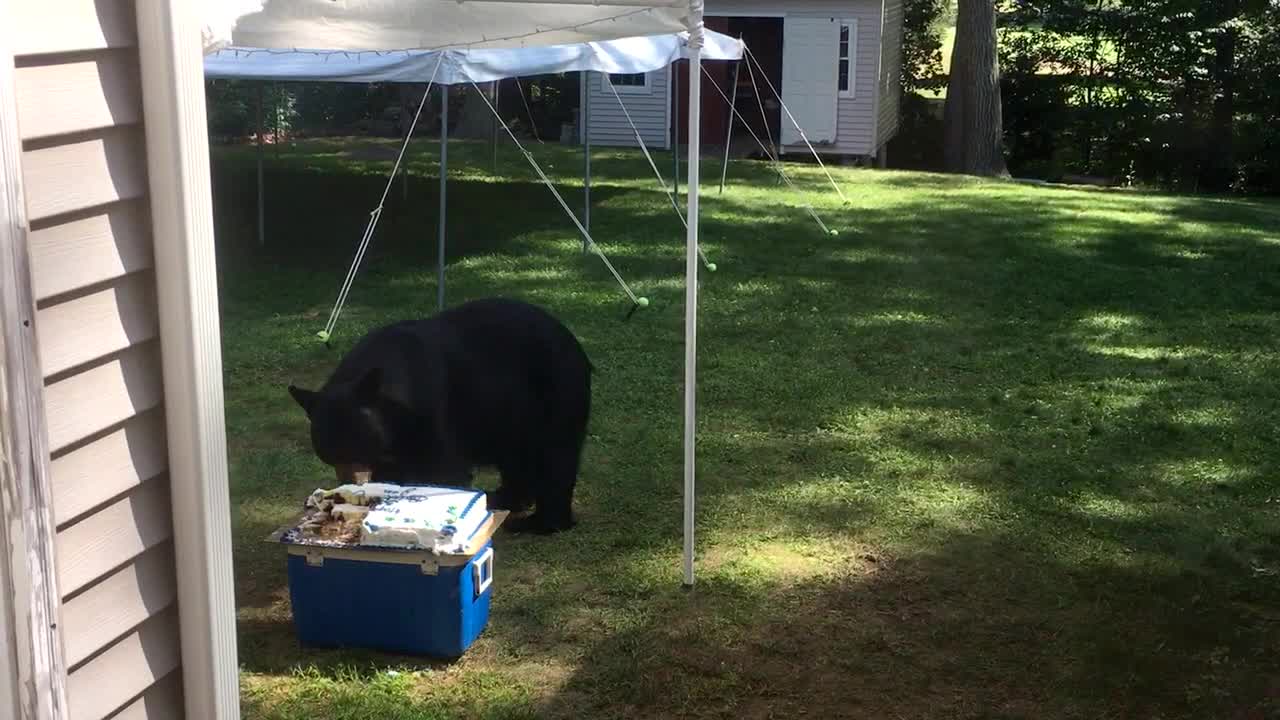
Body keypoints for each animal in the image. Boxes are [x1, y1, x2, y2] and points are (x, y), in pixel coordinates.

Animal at [288, 293, 591, 532]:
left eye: (357, 447)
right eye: (329, 455)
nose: (350, 486)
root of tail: (570, 336)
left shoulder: (432, 410)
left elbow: (444, 469)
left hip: (557, 388)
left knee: (556, 455)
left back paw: (540, 523)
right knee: (516, 456)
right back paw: (504, 498)